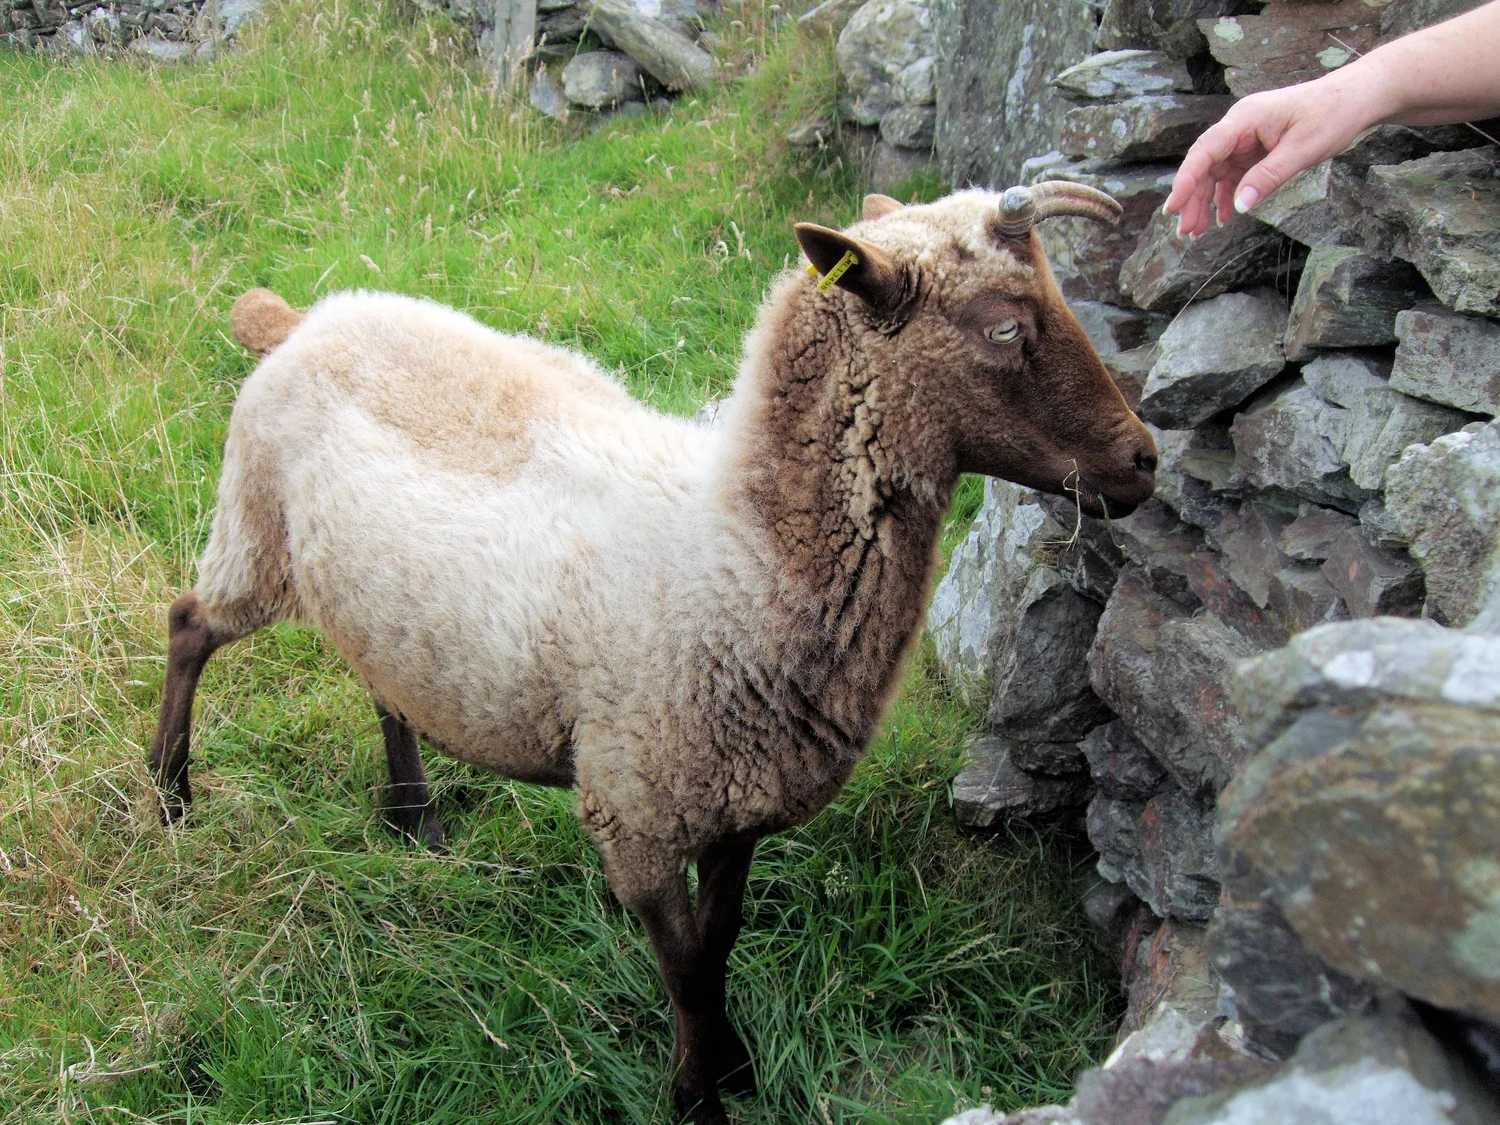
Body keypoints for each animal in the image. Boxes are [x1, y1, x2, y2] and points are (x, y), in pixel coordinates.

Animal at [148, 185, 1156, 1125]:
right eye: (1004, 327)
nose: (1144, 459)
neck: (737, 550)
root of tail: (304, 319)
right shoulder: (634, 813)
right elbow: (683, 965)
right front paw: (698, 1093)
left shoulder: (741, 806)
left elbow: (720, 942)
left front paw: (731, 1061)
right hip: (254, 528)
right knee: (188, 622)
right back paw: (171, 793)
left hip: (379, 601)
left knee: (382, 683)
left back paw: (412, 819)